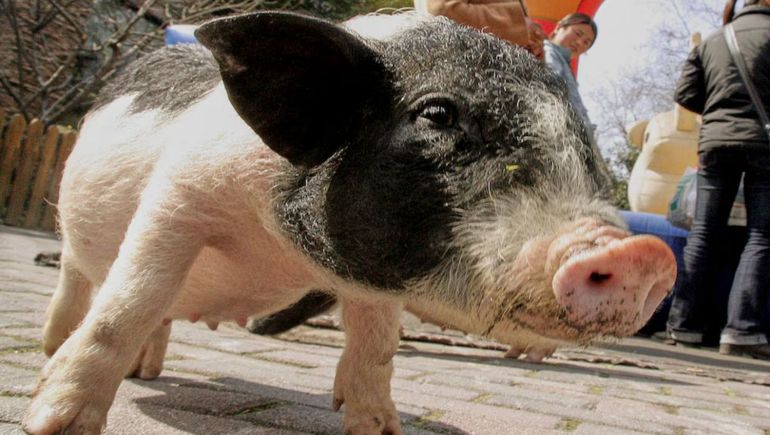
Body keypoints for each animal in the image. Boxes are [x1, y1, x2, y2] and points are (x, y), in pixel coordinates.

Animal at [23, 11, 676, 435]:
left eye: (582, 143)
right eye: (436, 114)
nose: (639, 253)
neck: (277, 248)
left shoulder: (378, 275)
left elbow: (377, 346)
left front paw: (380, 428)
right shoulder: (177, 197)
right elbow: (127, 304)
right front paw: (50, 424)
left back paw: (148, 368)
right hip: (75, 231)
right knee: (84, 282)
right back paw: (53, 351)